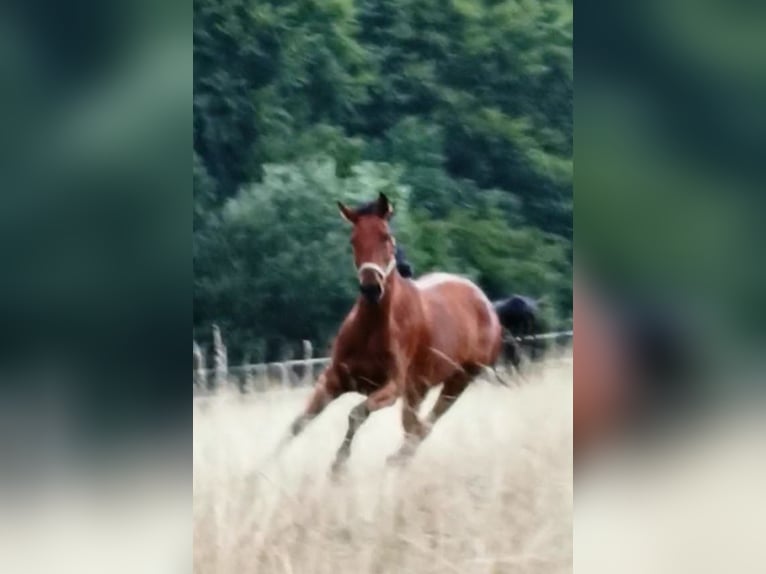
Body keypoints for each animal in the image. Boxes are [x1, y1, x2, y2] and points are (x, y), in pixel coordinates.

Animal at [280, 192, 503, 474]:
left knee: (424, 427)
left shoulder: (392, 388)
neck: (371, 328)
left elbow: (356, 414)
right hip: (420, 388)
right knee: (416, 427)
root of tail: (487, 303)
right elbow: (299, 422)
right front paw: (258, 473)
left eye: (386, 236)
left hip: (458, 380)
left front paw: (338, 467)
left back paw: (396, 460)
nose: (371, 288)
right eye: (353, 240)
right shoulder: (334, 379)